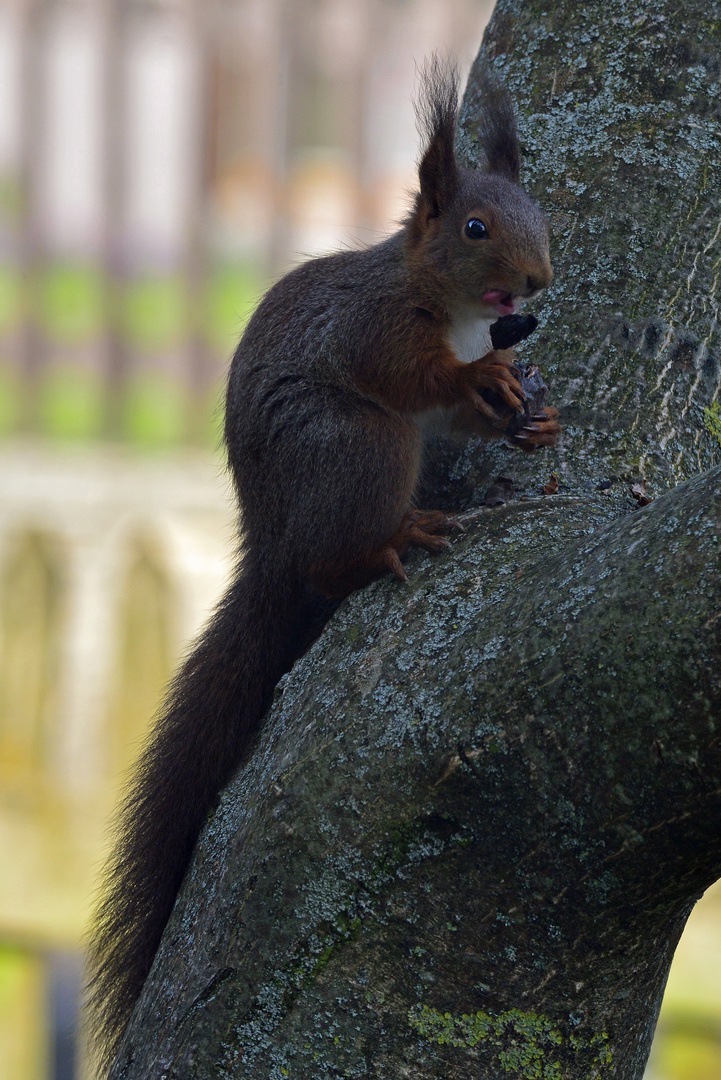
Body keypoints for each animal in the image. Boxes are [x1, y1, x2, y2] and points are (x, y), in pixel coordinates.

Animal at [87, 63, 561, 1067]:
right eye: (474, 229)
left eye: (538, 215)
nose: (538, 281)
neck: (454, 310)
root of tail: (268, 541)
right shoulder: (373, 330)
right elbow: (419, 383)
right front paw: (479, 382)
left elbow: (467, 413)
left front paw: (533, 420)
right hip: (357, 447)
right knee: (340, 553)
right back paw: (390, 542)